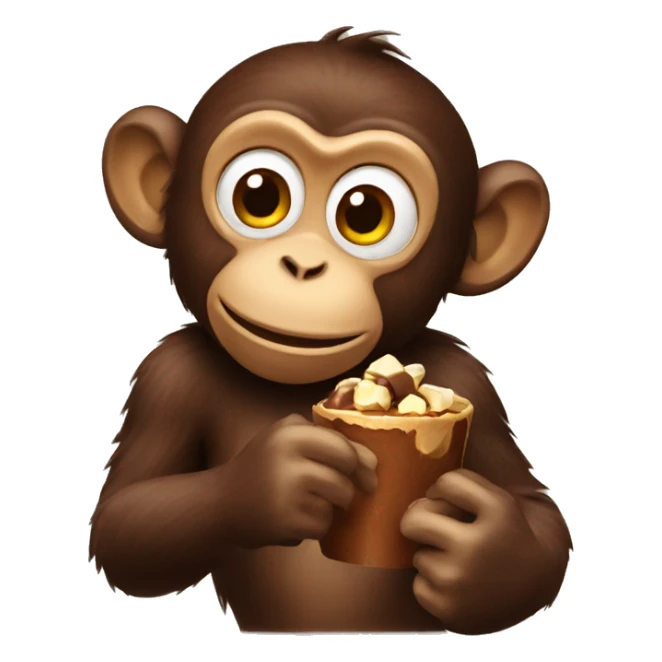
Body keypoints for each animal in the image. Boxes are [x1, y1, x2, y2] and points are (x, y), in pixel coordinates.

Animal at [91, 27, 572, 635]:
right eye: (259, 196)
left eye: (365, 215)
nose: (302, 265)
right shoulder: (168, 375)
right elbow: (127, 519)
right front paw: (273, 480)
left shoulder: (470, 383)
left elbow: (537, 515)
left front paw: (481, 553)